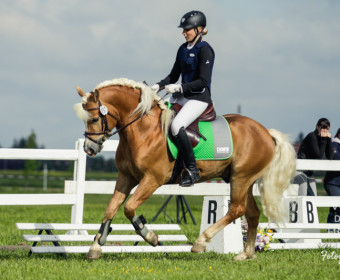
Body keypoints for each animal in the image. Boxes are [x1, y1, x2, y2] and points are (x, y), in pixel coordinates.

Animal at [73, 77, 294, 260]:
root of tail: (265, 131)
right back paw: (245, 254)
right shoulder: (126, 177)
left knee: (236, 209)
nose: (89, 149)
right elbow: (111, 208)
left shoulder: (152, 179)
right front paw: (96, 246)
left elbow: (128, 208)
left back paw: (201, 242)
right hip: (242, 179)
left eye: (94, 118)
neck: (143, 129)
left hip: (241, 177)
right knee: (252, 213)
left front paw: (151, 237)